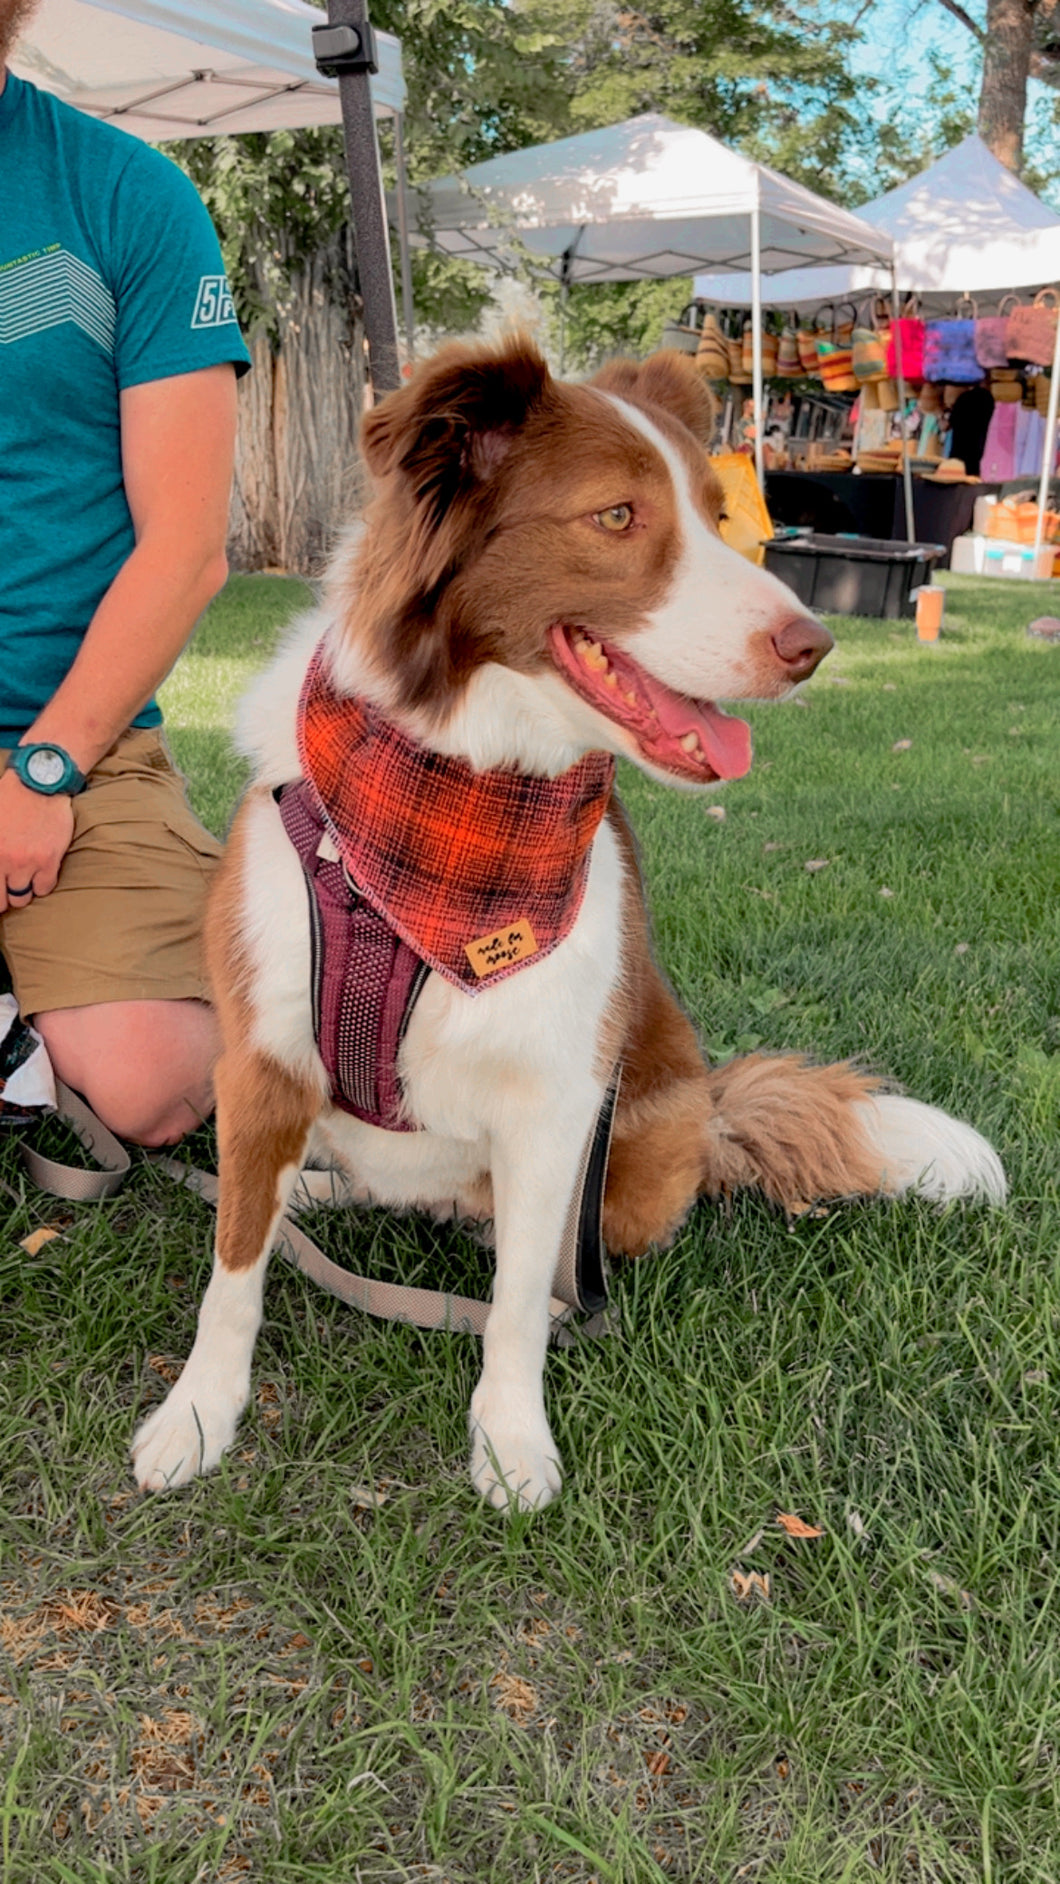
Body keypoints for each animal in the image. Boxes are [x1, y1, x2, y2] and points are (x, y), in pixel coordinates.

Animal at [130, 342, 1001, 1514]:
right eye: (619, 516)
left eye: (718, 514)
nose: (813, 645)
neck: (460, 795)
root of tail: (713, 1111)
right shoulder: (259, 1060)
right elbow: (233, 1271)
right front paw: (197, 1416)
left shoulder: (554, 1103)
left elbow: (510, 1313)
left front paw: (508, 1440)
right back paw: (315, 1187)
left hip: (628, 1154)